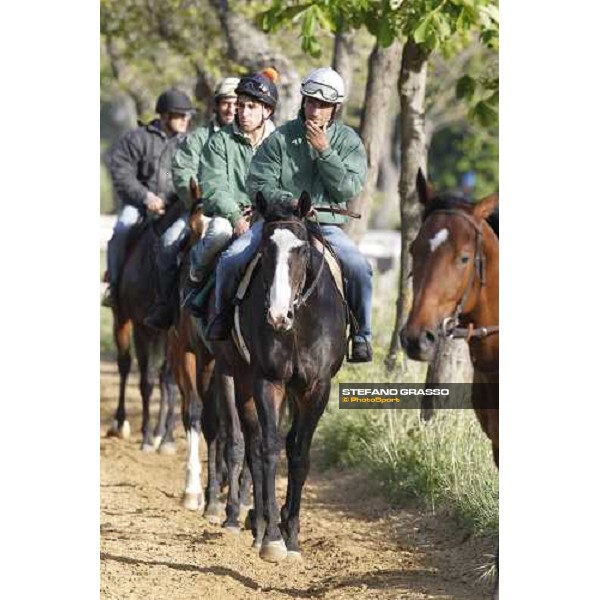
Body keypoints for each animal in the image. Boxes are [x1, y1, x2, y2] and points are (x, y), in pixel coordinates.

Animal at [105, 209, 178, 452]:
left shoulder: (171, 334)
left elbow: (169, 379)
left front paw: (166, 438)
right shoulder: (141, 328)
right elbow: (146, 381)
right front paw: (146, 438)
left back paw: (159, 432)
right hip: (122, 320)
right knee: (125, 365)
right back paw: (120, 424)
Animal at [236, 193, 346, 564]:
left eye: (301, 249)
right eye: (265, 248)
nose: (276, 316)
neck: (298, 326)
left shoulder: (317, 388)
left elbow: (299, 454)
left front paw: (293, 536)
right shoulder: (267, 381)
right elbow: (269, 450)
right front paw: (272, 539)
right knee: (253, 445)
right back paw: (258, 524)